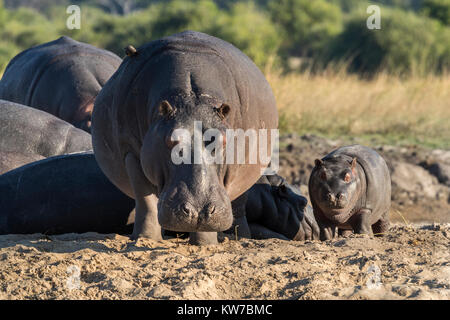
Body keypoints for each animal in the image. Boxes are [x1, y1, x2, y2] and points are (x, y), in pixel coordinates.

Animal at [91, 30, 278, 245]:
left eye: (223, 140)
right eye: (170, 140)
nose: (198, 211)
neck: (191, 97)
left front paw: (205, 244)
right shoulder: (131, 152)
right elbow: (145, 200)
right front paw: (144, 239)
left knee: (238, 205)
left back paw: (236, 237)